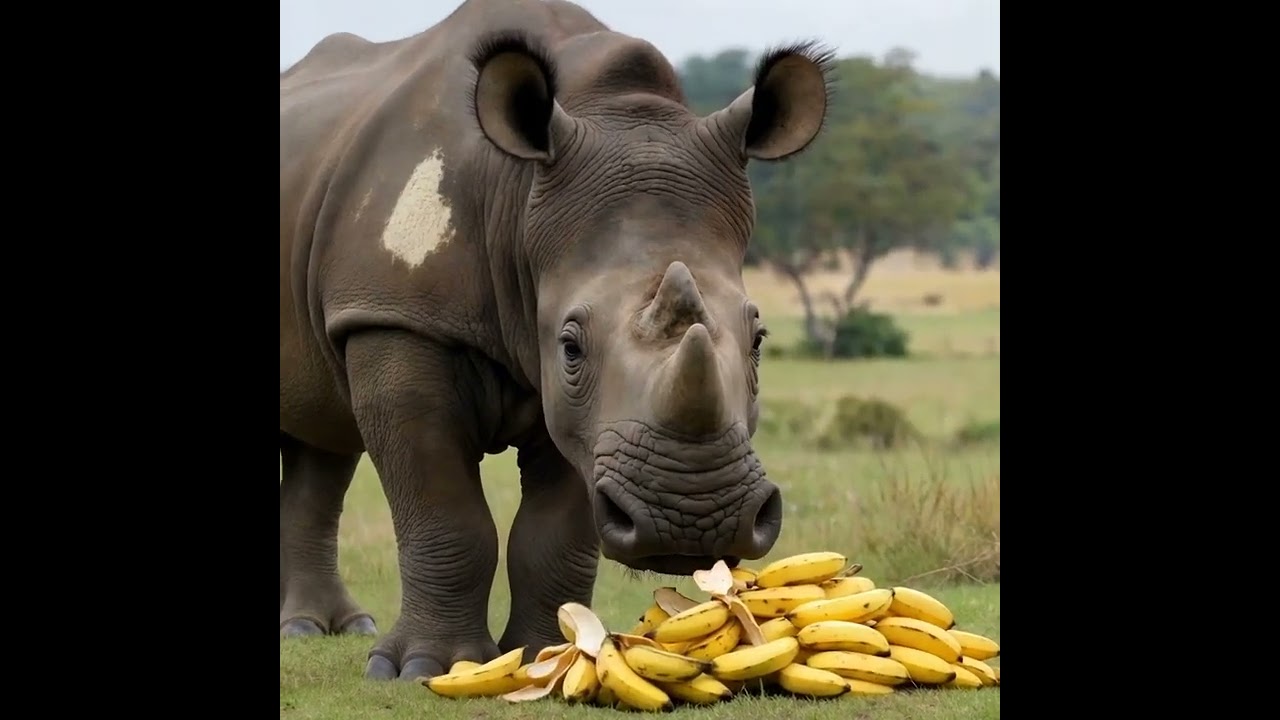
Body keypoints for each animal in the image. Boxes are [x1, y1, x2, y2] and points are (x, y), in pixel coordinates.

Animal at [280, 0, 833, 681]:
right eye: (570, 347)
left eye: (758, 339)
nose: (692, 521)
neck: (518, 196)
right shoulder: (397, 316)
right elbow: (444, 510)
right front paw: (426, 668)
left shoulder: (593, 422)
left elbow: (554, 530)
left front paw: (544, 654)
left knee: (323, 439)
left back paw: (317, 628)